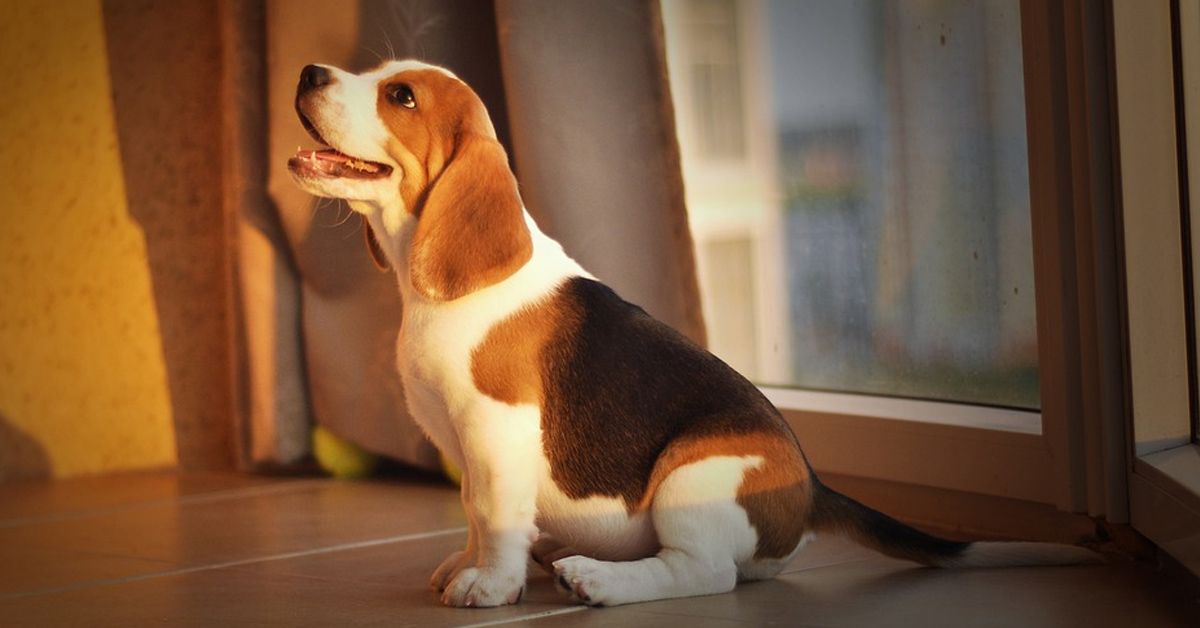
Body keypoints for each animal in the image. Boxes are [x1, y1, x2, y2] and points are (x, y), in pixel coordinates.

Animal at [288, 60, 1099, 609]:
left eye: (400, 96)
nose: (309, 71)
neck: (431, 285)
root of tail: (812, 489)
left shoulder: (493, 432)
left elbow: (492, 513)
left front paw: (488, 585)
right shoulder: (465, 447)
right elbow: (470, 512)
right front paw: (465, 565)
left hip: (694, 475)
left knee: (704, 574)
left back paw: (599, 580)